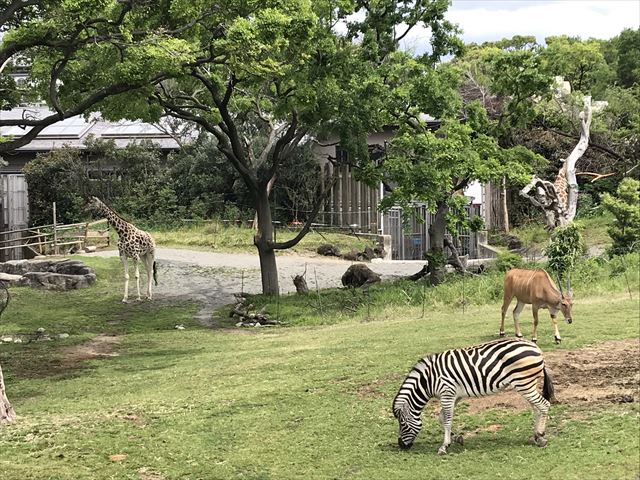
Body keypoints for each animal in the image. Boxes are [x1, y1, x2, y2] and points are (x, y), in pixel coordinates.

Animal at [392, 338, 552, 454]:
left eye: (403, 424)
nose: (401, 446)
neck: (428, 380)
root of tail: (536, 347)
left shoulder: (447, 393)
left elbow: (447, 420)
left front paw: (444, 446)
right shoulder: (454, 396)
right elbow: (442, 418)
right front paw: (456, 438)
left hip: (524, 383)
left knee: (544, 404)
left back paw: (540, 435)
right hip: (527, 384)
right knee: (536, 407)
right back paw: (535, 436)